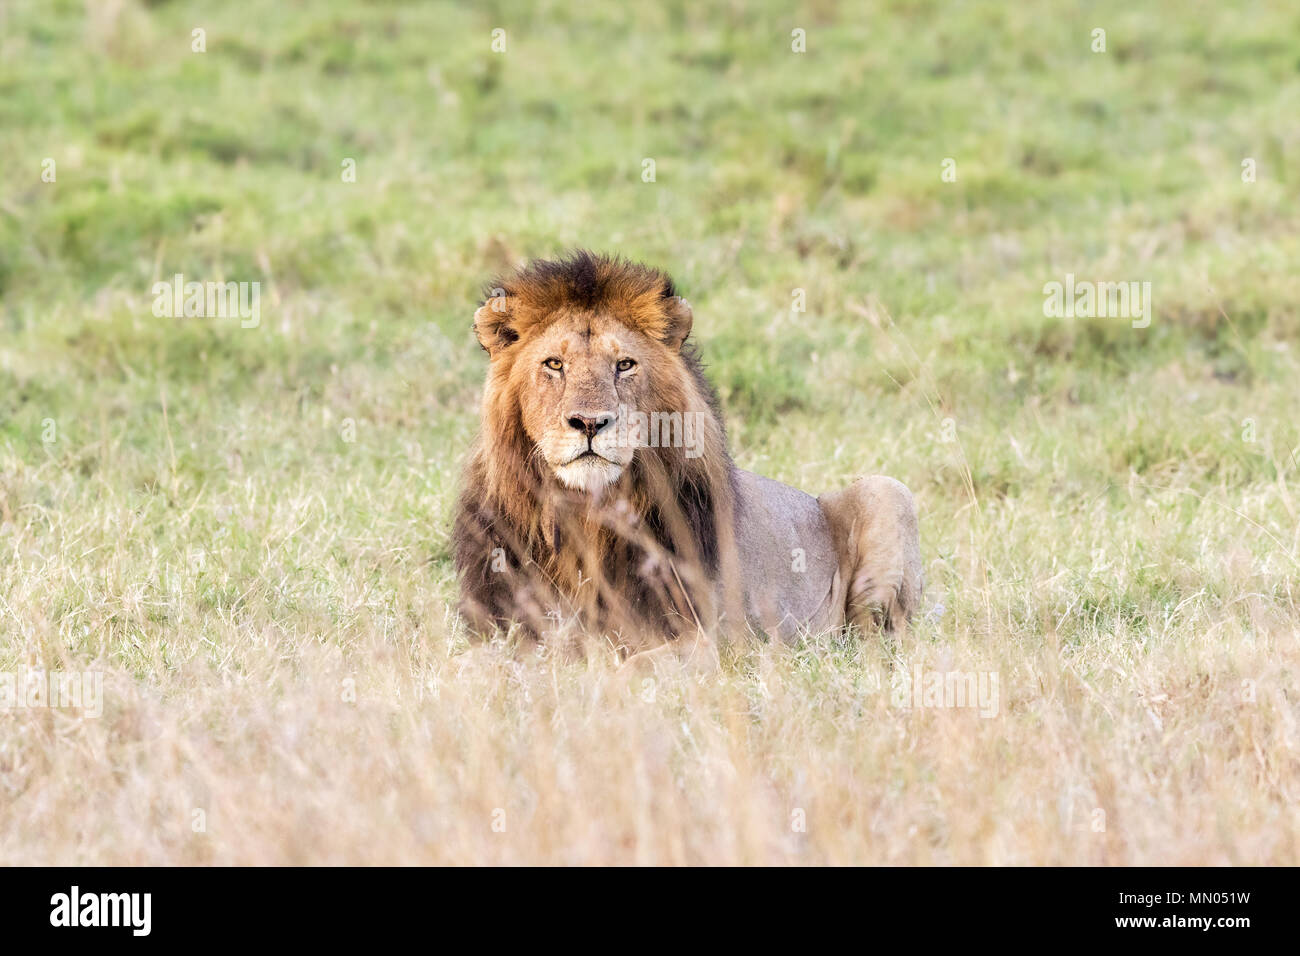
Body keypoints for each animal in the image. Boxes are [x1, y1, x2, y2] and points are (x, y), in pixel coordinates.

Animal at [452, 251, 921, 661]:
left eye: (624, 365)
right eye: (554, 364)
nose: (589, 423)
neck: (585, 516)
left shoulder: (702, 639)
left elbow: (632, 666)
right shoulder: (500, 629)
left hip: (887, 492)